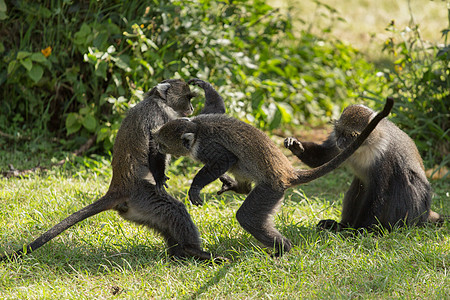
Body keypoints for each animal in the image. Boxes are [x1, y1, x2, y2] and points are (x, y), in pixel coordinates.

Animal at [0, 78, 225, 262]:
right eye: (187, 97)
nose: (192, 107)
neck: (158, 101)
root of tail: (117, 188)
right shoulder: (158, 118)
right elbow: (154, 147)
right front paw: (160, 178)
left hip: (138, 209)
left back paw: (180, 253)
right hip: (141, 195)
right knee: (173, 209)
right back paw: (191, 250)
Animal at [154, 97, 394, 256]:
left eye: (163, 145)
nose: (155, 147)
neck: (195, 127)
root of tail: (287, 173)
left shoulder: (206, 147)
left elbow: (226, 159)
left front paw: (195, 187)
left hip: (271, 189)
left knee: (248, 215)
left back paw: (282, 248)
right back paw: (240, 189)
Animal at [284, 102, 444, 231]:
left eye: (351, 135)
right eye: (339, 131)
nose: (340, 142)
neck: (365, 145)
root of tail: (427, 213)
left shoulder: (384, 155)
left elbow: (379, 193)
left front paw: (357, 231)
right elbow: (325, 158)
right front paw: (296, 146)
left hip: (417, 209)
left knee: (403, 181)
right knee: (358, 186)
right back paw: (340, 225)